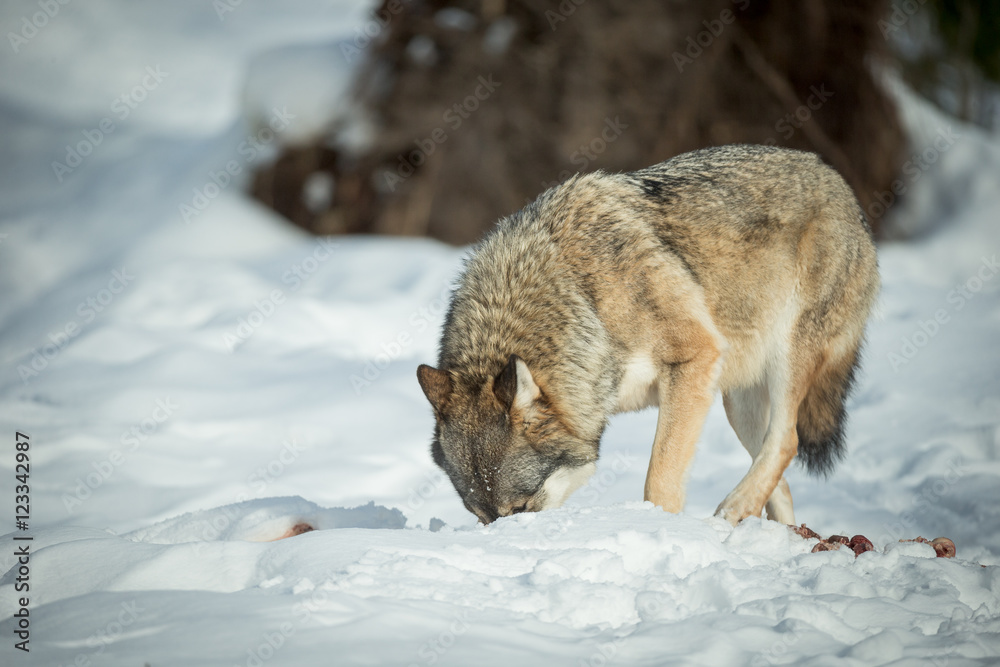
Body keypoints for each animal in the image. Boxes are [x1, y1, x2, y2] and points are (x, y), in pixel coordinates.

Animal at [417, 145, 879, 525]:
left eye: (522, 508)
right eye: (482, 519)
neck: (584, 300)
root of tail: (835, 179)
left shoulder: (694, 359)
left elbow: (659, 479)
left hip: (784, 360)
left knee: (787, 441)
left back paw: (732, 512)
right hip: (737, 397)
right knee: (779, 475)